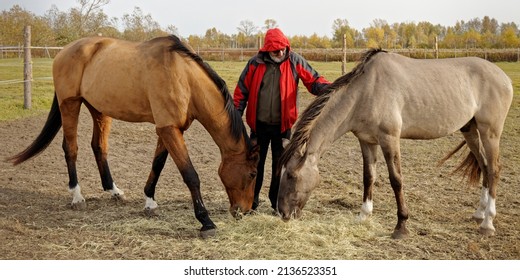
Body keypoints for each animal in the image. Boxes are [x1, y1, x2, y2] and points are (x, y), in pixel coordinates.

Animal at [8, 34, 260, 236]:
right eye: (252, 174)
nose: (244, 211)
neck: (184, 77)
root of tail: (64, 51)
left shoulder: (168, 129)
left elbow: (157, 164)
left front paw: (149, 202)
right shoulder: (168, 129)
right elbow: (190, 175)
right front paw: (206, 221)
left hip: (99, 109)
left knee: (99, 146)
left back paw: (114, 191)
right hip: (69, 104)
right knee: (71, 148)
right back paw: (77, 197)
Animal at [278, 48, 512, 238]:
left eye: (291, 175)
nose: (282, 213)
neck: (366, 90)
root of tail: (503, 77)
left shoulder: (389, 139)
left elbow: (396, 180)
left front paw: (401, 226)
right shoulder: (367, 141)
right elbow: (368, 177)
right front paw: (364, 215)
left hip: (490, 133)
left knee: (494, 169)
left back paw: (488, 223)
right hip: (470, 130)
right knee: (484, 166)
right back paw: (479, 213)